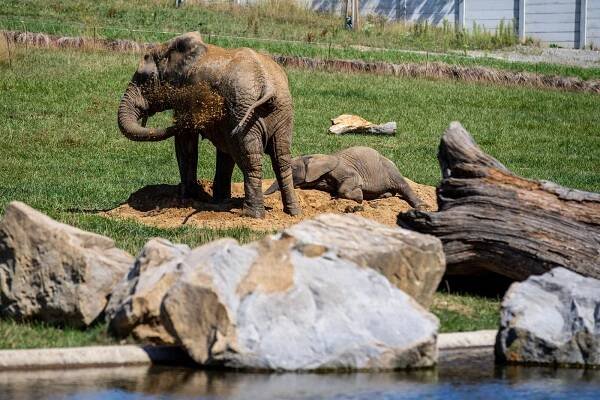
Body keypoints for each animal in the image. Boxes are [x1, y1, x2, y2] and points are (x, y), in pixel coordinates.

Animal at [118, 31, 300, 219]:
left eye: (143, 79)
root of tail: (267, 84)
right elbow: (223, 152)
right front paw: (220, 201)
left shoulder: (187, 94)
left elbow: (186, 142)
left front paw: (189, 197)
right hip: (277, 111)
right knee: (281, 158)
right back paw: (292, 212)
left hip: (248, 111)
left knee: (250, 158)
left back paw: (251, 214)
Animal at [264, 147, 426, 209]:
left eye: (292, 169)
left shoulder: (341, 169)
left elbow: (352, 180)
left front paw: (358, 197)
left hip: (390, 170)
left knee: (402, 185)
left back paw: (421, 206)